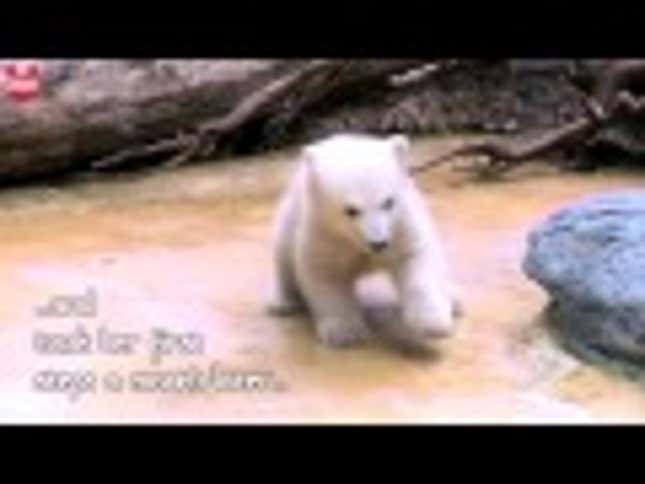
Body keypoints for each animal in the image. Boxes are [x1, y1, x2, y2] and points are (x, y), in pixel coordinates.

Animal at [266, 133, 461, 348]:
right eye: (351, 210)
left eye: (388, 202)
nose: (379, 243)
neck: (354, 241)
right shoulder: (323, 232)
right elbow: (325, 273)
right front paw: (345, 332)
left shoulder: (401, 224)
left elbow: (414, 258)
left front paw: (434, 323)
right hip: (289, 219)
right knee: (283, 260)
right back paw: (282, 303)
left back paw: (454, 298)